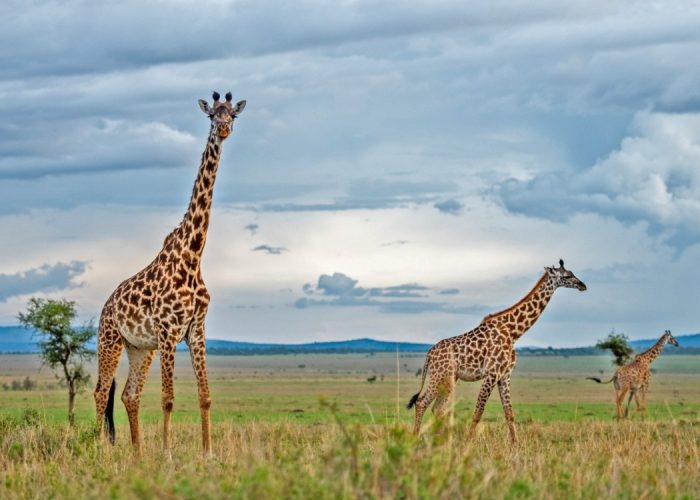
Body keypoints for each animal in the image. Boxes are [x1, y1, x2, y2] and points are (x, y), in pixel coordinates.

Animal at [93, 90, 246, 458]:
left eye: (233, 114)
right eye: (212, 116)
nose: (223, 129)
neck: (193, 256)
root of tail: (105, 307)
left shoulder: (196, 330)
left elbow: (205, 396)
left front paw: (208, 454)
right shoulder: (167, 331)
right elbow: (168, 399)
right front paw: (167, 454)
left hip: (139, 348)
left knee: (128, 395)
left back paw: (137, 455)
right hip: (110, 340)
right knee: (101, 391)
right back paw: (97, 448)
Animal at [408, 260, 588, 444]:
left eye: (572, 272)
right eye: (566, 276)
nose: (583, 285)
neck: (513, 332)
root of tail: (429, 354)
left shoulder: (505, 375)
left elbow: (509, 413)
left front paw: (516, 444)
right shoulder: (492, 373)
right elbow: (478, 412)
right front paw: (468, 443)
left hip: (450, 378)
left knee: (437, 408)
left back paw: (441, 442)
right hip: (440, 375)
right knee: (422, 402)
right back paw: (415, 439)